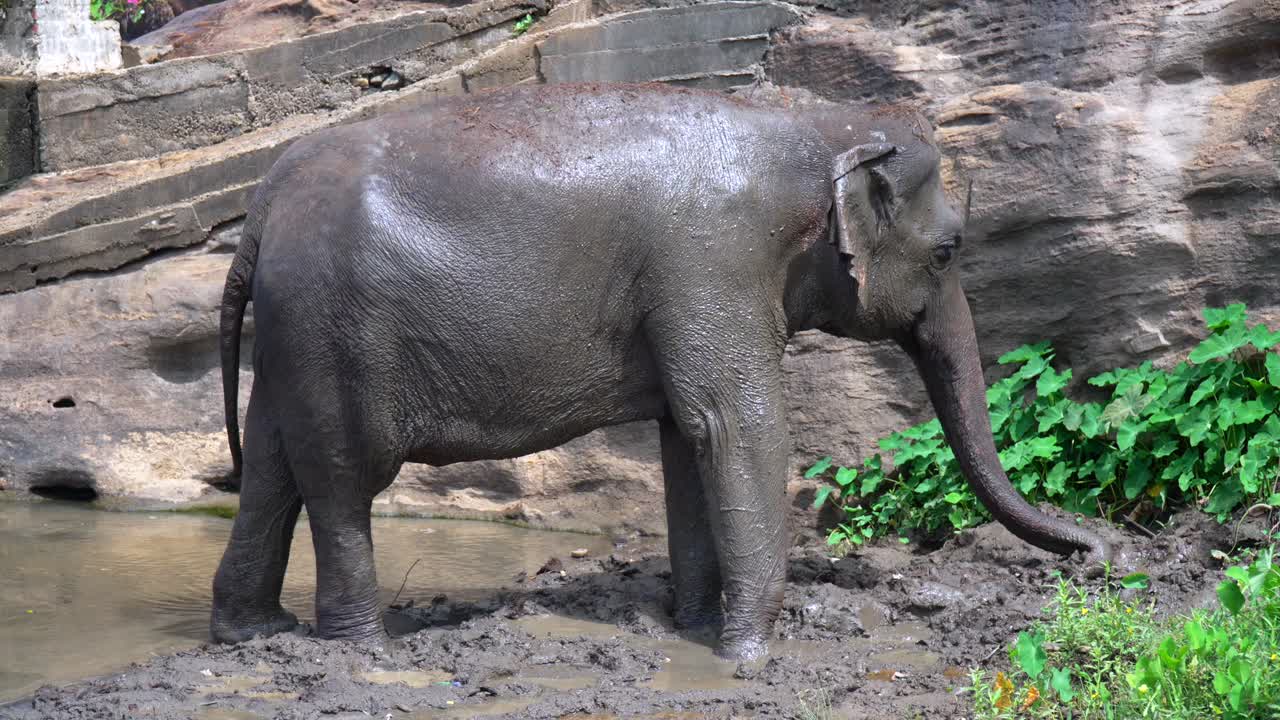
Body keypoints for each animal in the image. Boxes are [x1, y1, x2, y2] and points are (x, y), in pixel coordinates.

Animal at [211, 82, 1111, 661]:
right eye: (949, 250)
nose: (1096, 557)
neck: (817, 122)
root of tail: (261, 208)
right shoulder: (713, 260)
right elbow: (735, 424)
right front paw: (751, 656)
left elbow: (689, 433)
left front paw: (695, 630)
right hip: (332, 329)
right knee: (340, 479)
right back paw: (360, 653)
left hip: (295, 335)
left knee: (273, 467)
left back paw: (253, 636)